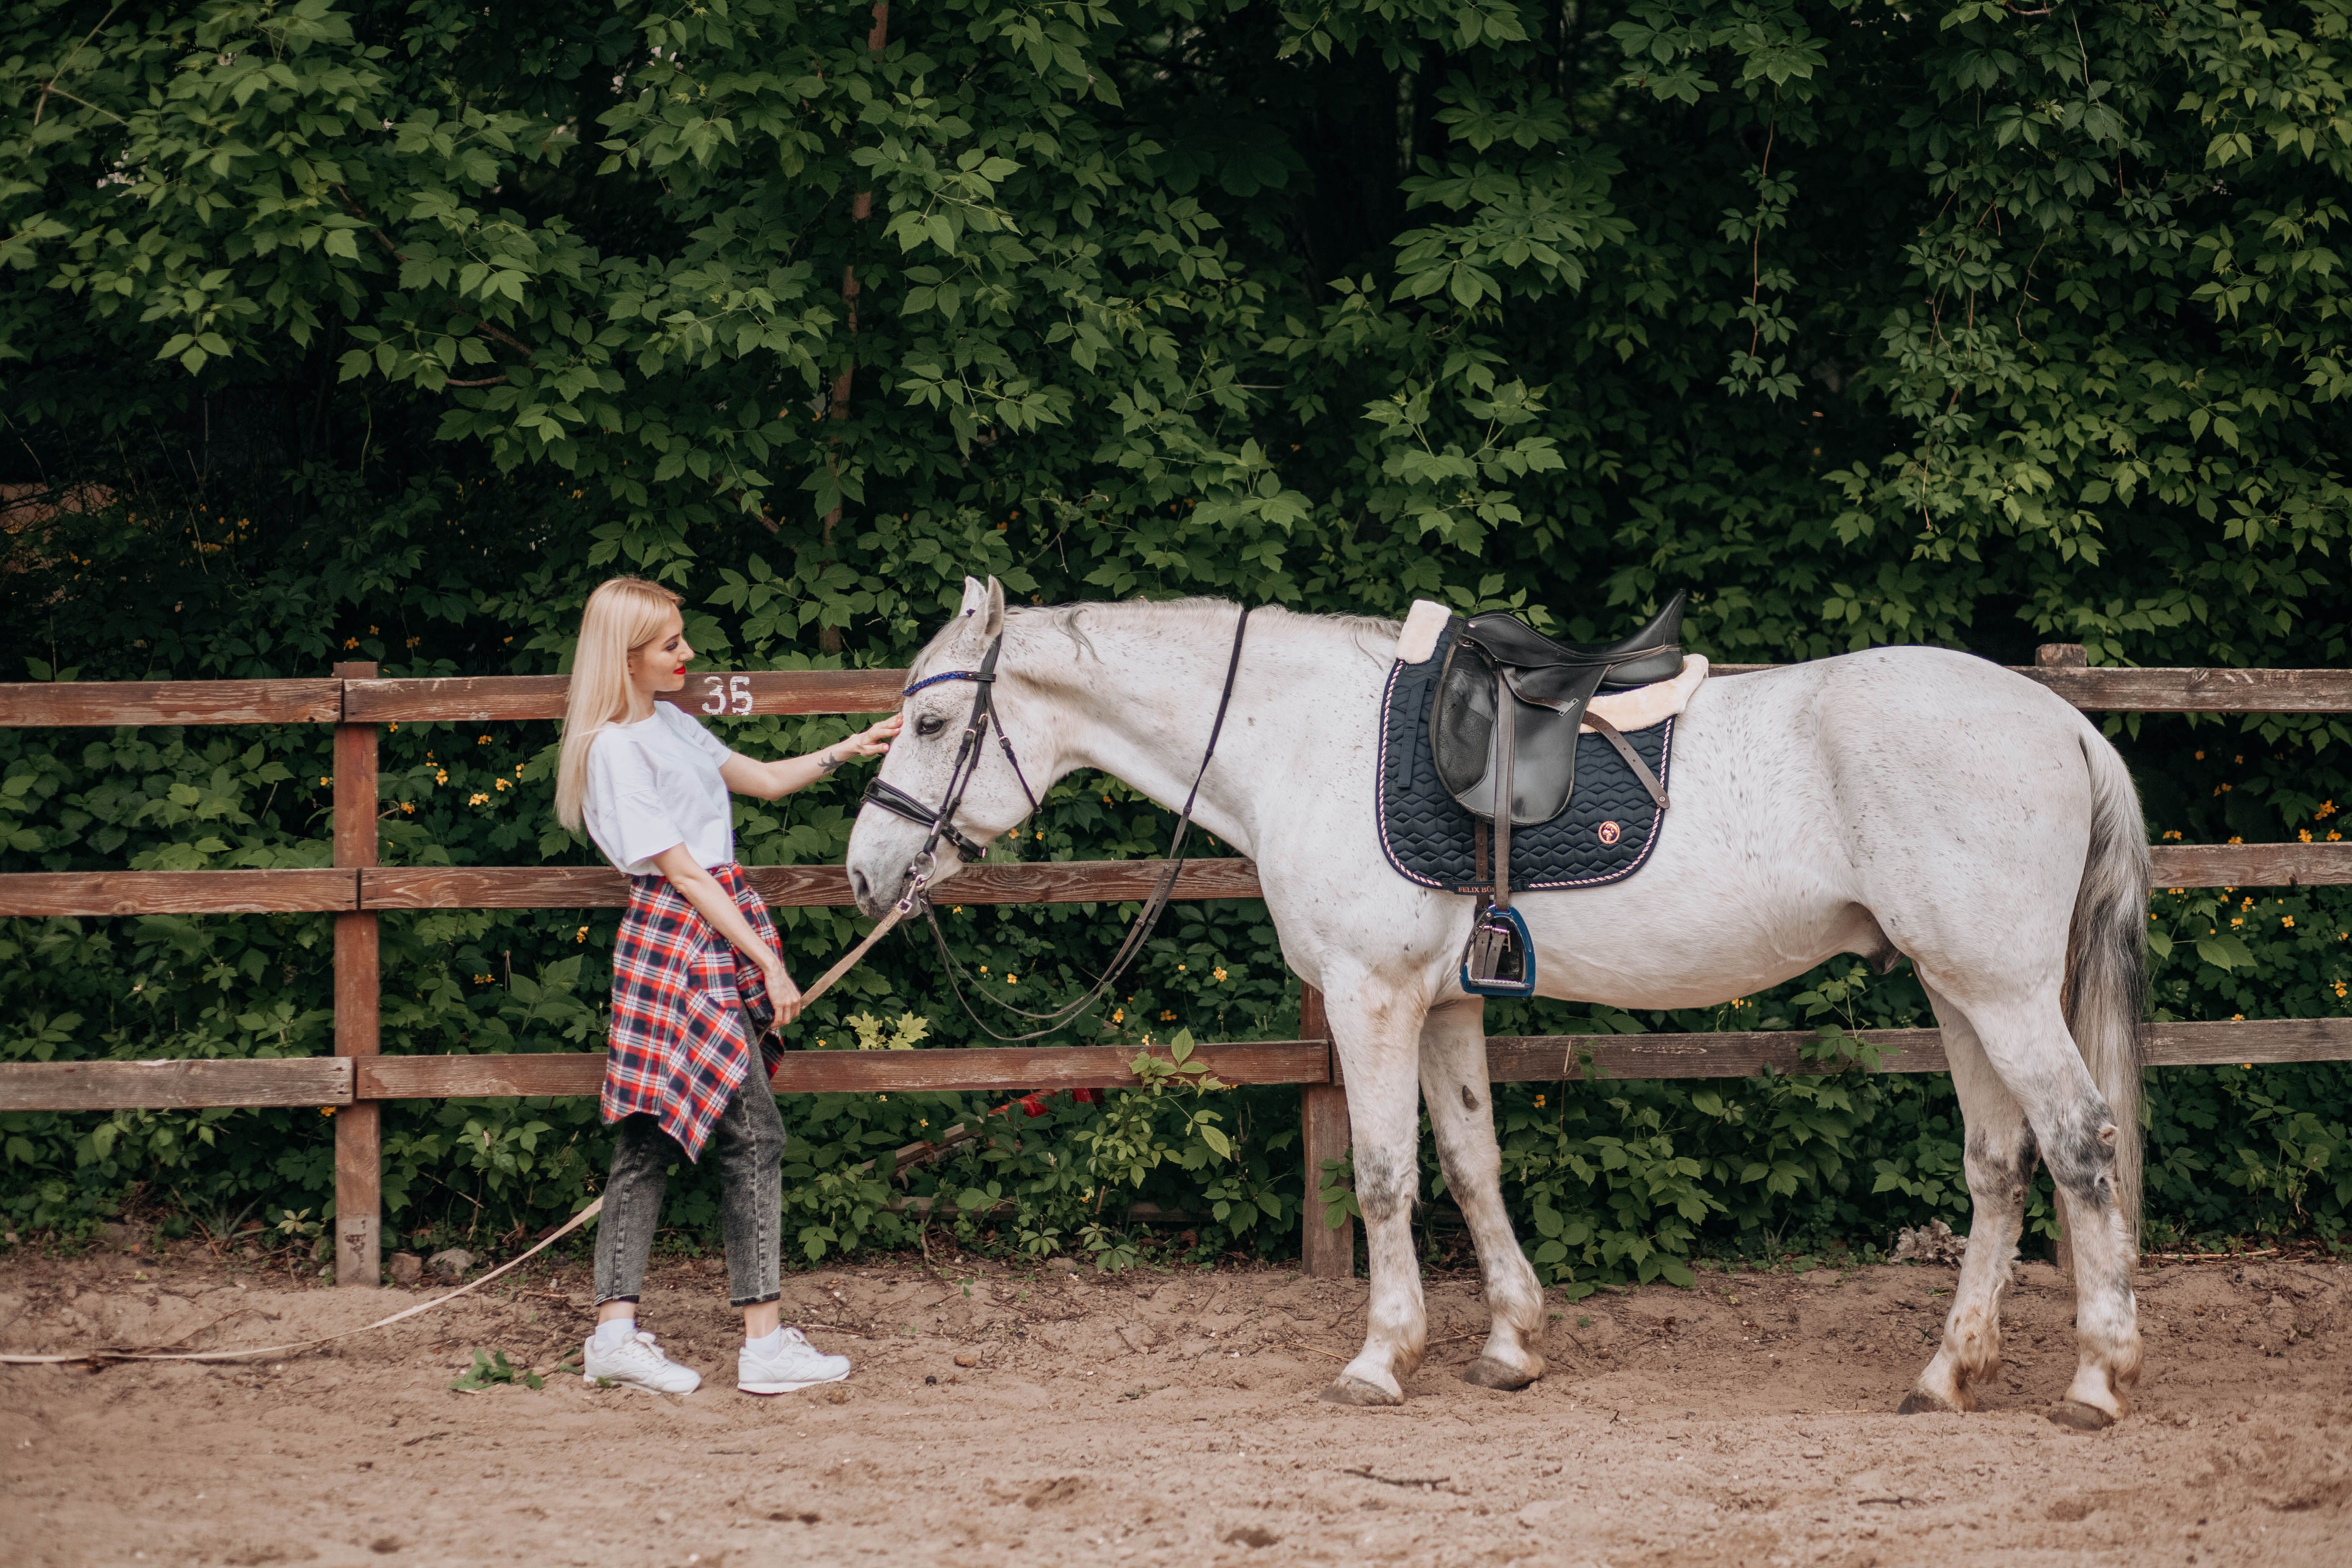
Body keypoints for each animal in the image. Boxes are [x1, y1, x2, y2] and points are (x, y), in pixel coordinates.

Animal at [844, 577, 2148, 1428]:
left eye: (934, 722)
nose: (866, 871)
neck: (1303, 737)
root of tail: (2065, 720)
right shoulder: (1446, 1002)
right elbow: (1473, 1163)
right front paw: (1511, 1344)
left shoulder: (1371, 997)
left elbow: (1384, 1175)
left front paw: (1381, 1358)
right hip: (1955, 988)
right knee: (1998, 1163)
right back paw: (1948, 1374)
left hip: (2001, 991)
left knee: (2081, 1144)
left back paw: (2096, 1378)